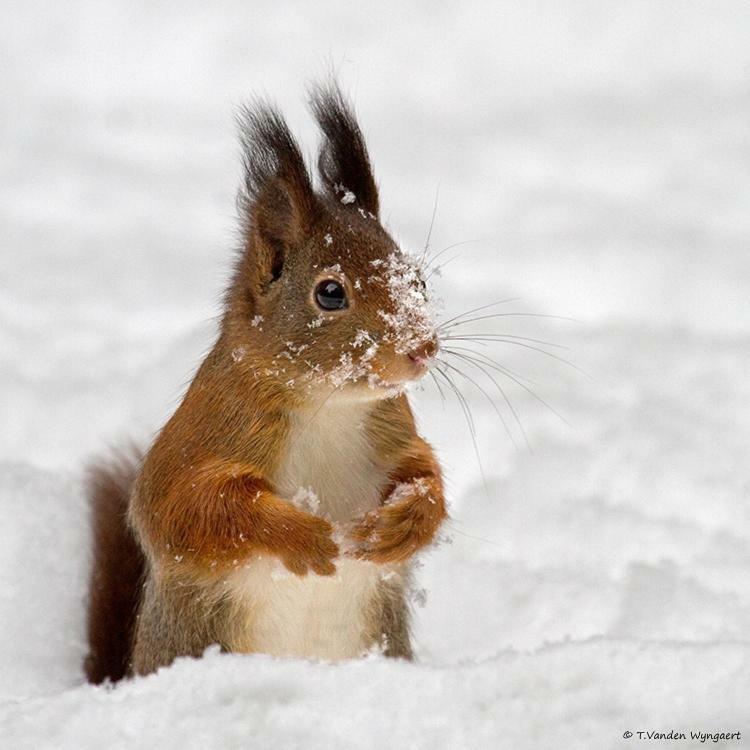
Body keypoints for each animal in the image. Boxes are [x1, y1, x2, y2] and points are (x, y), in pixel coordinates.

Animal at [83, 82, 446, 688]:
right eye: (330, 293)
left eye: (415, 279)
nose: (422, 348)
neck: (329, 406)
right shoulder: (204, 434)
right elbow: (187, 507)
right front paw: (301, 535)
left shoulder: (393, 428)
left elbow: (425, 474)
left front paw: (404, 523)